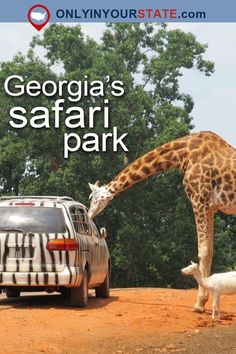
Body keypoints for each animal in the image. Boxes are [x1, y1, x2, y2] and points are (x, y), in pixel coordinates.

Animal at [87, 131, 236, 312]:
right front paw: (203, 300)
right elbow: (210, 250)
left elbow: (203, 251)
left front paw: (199, 304)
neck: (182, 155)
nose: (89, 214)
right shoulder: (210, 208)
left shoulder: (199, 200)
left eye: (92, 198)